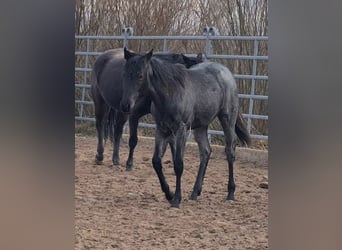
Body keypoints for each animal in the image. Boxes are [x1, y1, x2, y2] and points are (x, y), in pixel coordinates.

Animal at [120, 47, 251, 208]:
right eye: (125, 74)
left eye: (140, 75)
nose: (126, 105)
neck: (170, 93)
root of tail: (226, 72)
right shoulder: (162, 129)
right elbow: (156, 161)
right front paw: (169, 194)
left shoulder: (181, 129)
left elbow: (178, 164)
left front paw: (176, 199)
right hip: (201, 126)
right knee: (206, 151)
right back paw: (195, 192)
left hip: (227, 118)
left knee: (230, 150)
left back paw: (230, 193)